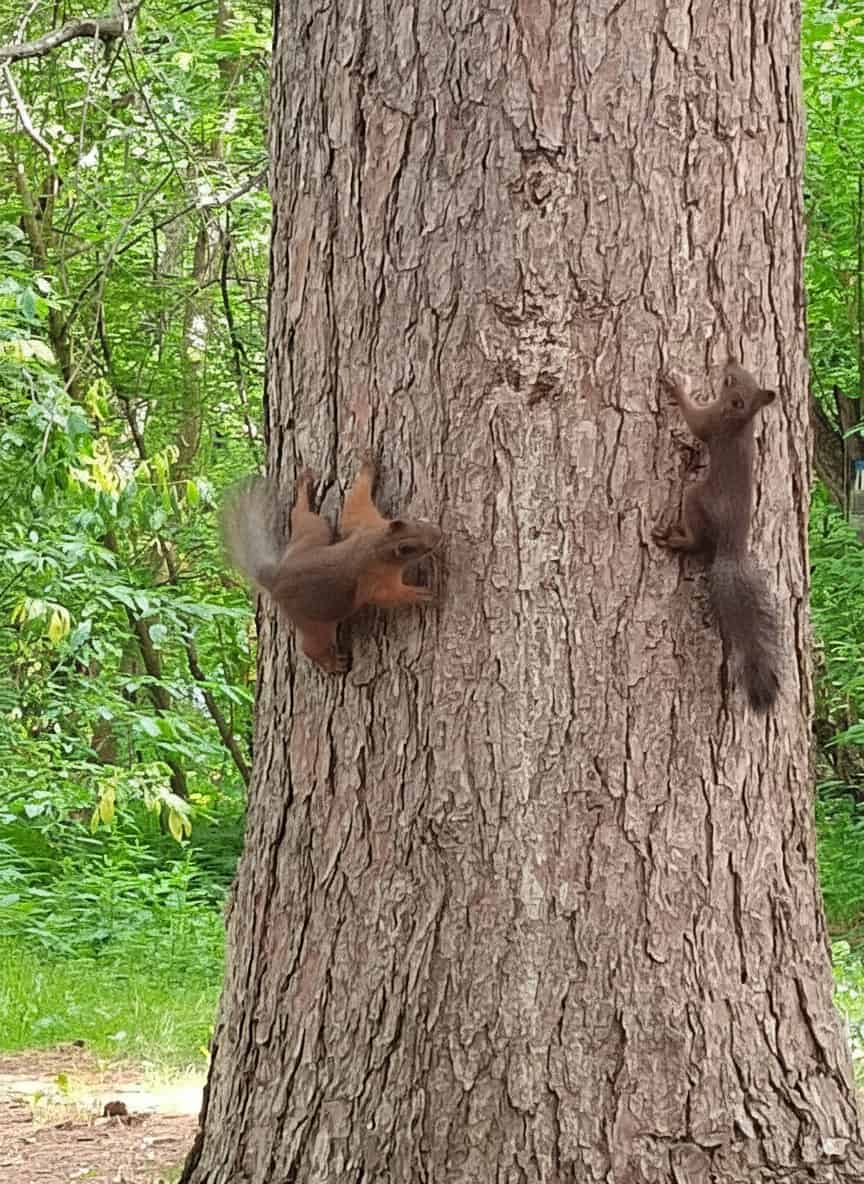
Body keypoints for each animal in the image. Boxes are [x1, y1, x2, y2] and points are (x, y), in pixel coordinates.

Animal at [222, 455, 441, 673]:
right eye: (416, 548)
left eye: (417, 522)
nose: (439, 534)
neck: (378, 543)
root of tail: (275, 577)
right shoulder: (372, 578)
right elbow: (385, 596)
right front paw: (417, 594)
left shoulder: (365, 523)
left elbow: (355, 502)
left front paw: (368, 462)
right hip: (313, 621)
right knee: (310, 647)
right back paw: (333, 663)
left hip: (311, 536)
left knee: (301, 516)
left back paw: (304, 485)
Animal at [652, 358, 780, 712]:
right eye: (740, 373)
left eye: (729, 380)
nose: (730, 358)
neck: (741, 420)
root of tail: (731, 548)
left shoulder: (712, 423)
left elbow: (695, 422)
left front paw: (678, 387)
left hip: (696, 498)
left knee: (698, 540)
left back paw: (677, 539)